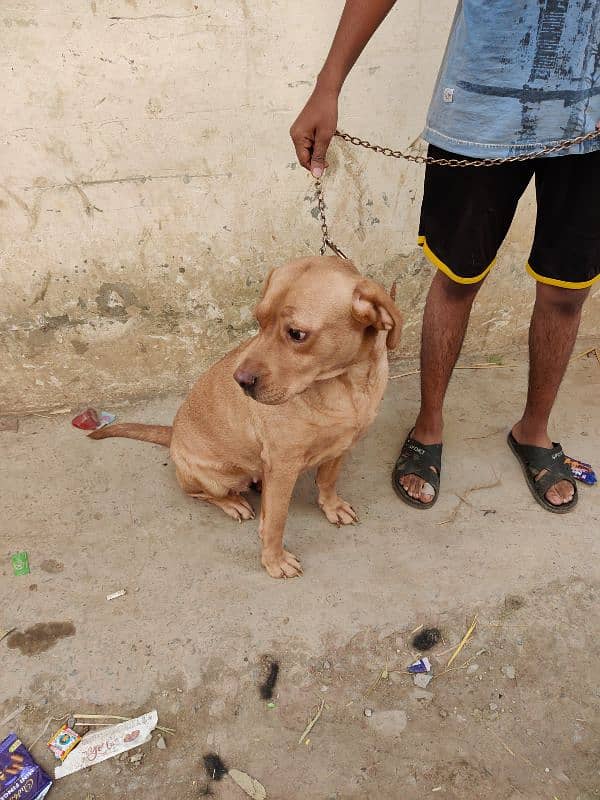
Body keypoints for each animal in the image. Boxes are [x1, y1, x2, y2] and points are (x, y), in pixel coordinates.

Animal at [91, 256, 400, 576]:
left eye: (297, 334)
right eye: (259, 321)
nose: (240, 380)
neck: (346, 383)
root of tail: (173, 435)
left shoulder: (343, 444)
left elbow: (327, 480)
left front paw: (332, 506)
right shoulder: (284, 465)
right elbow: (276, 521)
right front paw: (274, 560)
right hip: (213, 478)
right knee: (201, 493)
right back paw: (232, 503)